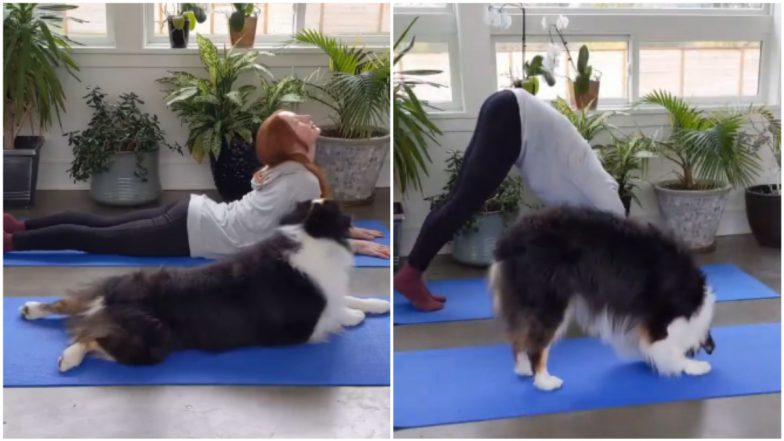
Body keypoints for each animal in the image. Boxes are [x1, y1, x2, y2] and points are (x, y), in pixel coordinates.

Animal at [17, 199, 386, 372]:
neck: (310, 232)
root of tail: (113, 298)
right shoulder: (303, 327)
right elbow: (338, 311)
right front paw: (355, 316)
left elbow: (349, 297)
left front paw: (379, 304)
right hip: (154, 341)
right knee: (89, 336)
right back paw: (68, 357)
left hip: (115, 282)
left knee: (68, 305)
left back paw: (30, 309)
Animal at [490, 205, 716, 388]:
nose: (712, 349)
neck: (694, 303)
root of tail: (509, 240)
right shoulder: (660, 321)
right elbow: (667, 348)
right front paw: (693, 366)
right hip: (550, 302)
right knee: (536, 344)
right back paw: (544, 380)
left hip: (526, 299)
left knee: (519, 336)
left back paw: (523, 369)